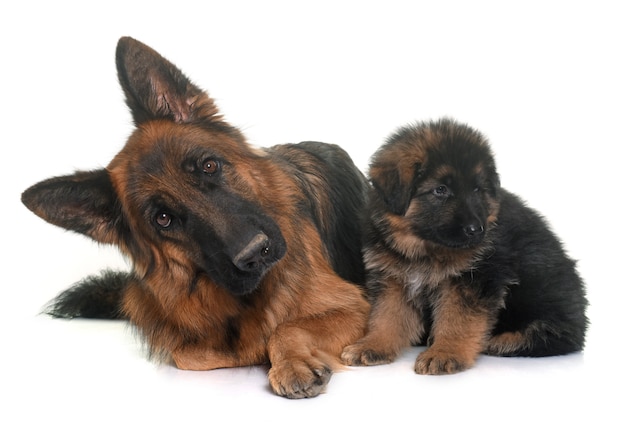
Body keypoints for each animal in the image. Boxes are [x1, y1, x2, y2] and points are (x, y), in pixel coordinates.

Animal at [22, 36, 368, 398]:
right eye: (163, 218)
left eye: (209, 165)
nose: (255, 252)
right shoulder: (183, 341)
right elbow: (193, 352)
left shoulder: (354, 307)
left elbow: (286, 327)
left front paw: (288, 360)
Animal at [338, 118, 588, 374]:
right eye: (441, 190)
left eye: (477, 189)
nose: (476, 230)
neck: (425, 248)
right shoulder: (393, 278)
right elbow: (386, 316)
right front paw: (373, 345)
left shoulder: (475, 278)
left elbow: (458, 319)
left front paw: (445, 352)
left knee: (559, 334)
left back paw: (503, 341)